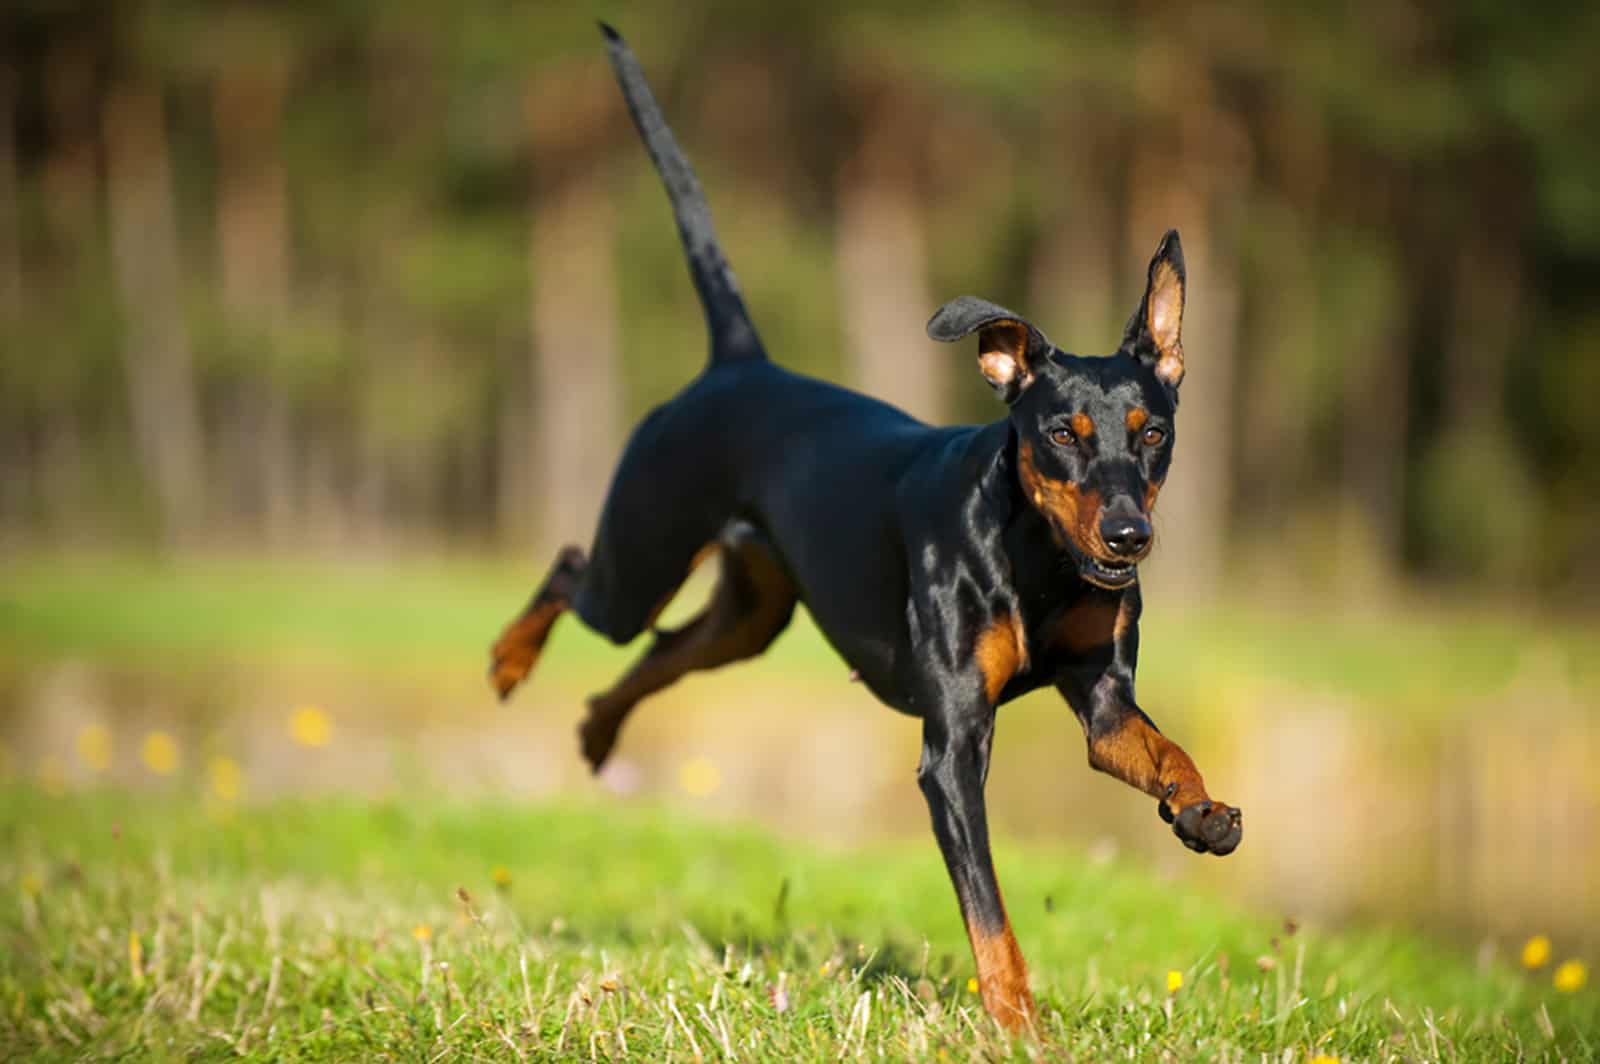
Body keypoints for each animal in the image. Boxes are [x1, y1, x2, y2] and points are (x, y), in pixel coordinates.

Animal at [492, 18, 1241, 1030]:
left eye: (1152, 432)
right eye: (1061, 434)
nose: (1130, 538)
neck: (1033, 559)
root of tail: (740, 364)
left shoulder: (1102, 701)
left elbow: (1163, 748)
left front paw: (1200, 813)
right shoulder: (952, 751)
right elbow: (989, 912)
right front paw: (1016, 1025)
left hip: (748, 619)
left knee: (658, 654)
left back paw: (597, 734)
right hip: (642, 554)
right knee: (578, 573)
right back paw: (509, 663)